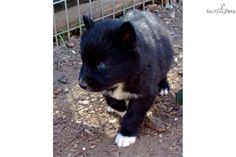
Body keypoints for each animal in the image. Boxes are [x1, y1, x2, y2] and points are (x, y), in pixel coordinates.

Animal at [79, 9, 173, 147]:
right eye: (83, 61)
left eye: (101, 64)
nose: (81, 84)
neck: (122, 80)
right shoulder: (106, 84)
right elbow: (113, 100)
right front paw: (119, 109)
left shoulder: (146, 92)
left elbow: (133, 114)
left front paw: (126, 135)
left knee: (164, 73)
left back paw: (164, 86)